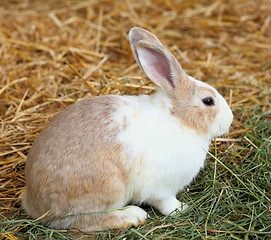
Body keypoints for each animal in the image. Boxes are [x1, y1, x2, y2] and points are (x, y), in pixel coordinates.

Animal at [21, 27, 234, 232]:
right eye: (208, 101)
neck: (177, 118)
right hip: (108, 188)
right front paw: (182, 208)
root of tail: (35, 204)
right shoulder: (162, 189)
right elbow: (166, 203)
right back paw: (132, 216)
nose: (229, 119)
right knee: (86, 221)